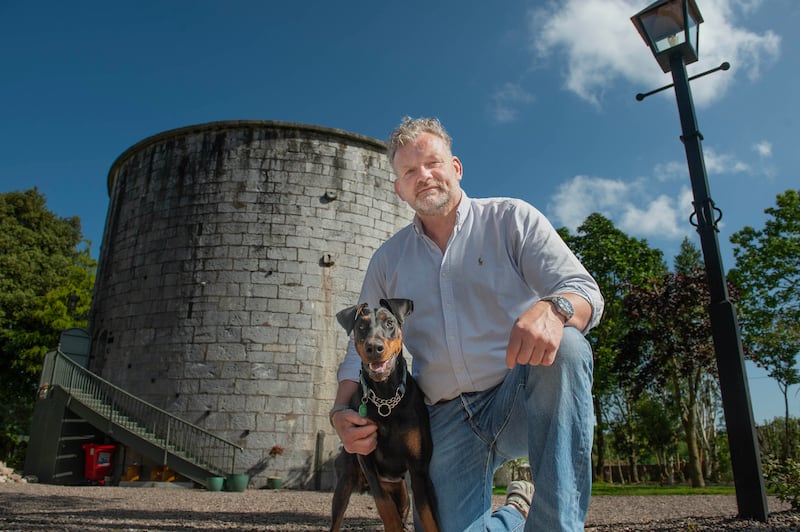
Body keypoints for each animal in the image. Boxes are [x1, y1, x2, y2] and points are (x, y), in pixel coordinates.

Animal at [332, 300, 440, 532]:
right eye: (361, 326)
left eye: (389, 322)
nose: (374, 348)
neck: (386, 397)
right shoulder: (366, 458)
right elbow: (384, 506)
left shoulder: (419, 469)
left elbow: (429, 518)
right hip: (345, 481)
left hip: (402, 492)